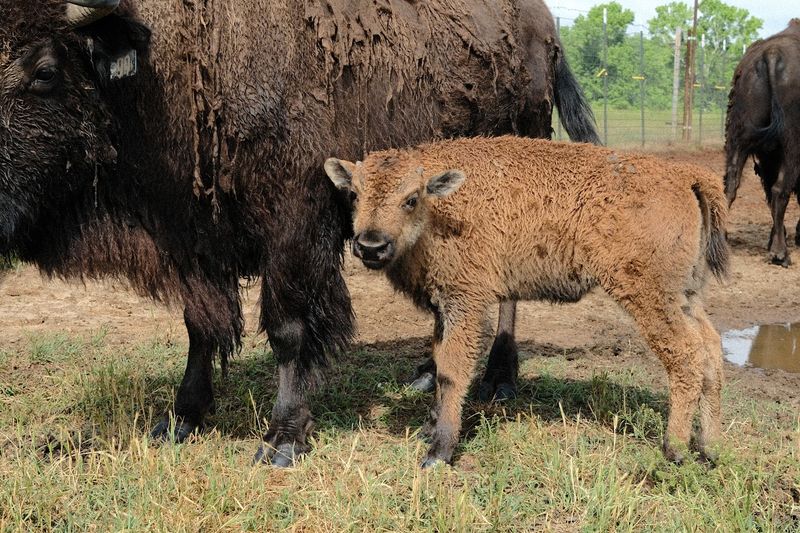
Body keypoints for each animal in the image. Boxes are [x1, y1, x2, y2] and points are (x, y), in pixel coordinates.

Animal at [0, 0, 597, 465]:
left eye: (44, 70)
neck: (168, 62)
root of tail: (547, 27)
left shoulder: (293, 232)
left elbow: (288, 330)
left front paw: (282, 439)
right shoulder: (195, 239)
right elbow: (199, 327)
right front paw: (180, 419)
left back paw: (499, 379)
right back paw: (428, 372)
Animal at [724, 19, 800, 266]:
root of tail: (772, 53)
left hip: (738, 138)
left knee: (730, 184)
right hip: (791, 146)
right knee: (780, 190)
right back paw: (781, 253)